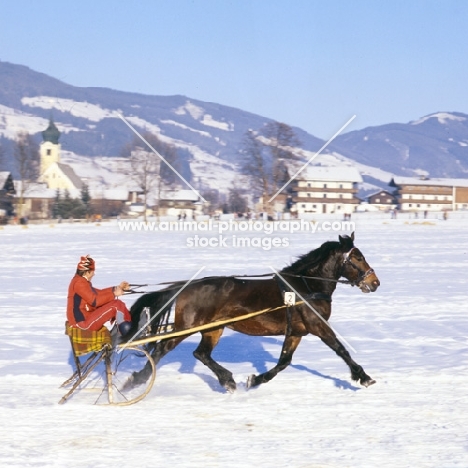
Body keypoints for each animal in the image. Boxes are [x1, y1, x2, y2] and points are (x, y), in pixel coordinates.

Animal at [124, 233, 380, 392]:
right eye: (357, 257)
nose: (375, 282)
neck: (307, 287)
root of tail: (186, 286)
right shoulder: (318, 326)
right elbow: (341, 350)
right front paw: (363, 377)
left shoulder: (295, 332)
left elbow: (283, 362)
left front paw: (255, 379)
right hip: (186, 328)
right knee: (162, 350)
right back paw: (136, 381)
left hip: (213, 329)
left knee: (201, 354)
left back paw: (227, 380)